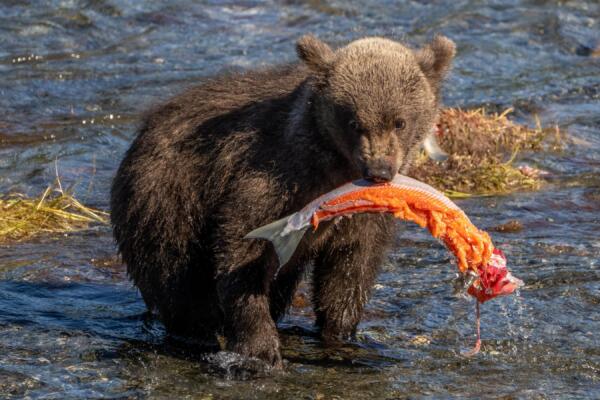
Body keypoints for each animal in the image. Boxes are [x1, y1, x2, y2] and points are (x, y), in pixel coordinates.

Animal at [110, 34, 454, 368]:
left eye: (400, 121)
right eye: (354, 123)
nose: (379, 170)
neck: (333, 172)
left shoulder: (362, 214)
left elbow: (350, 269)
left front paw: (342, 335)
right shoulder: (272, 178)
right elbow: (242, 248)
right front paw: (261, 348)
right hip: (166, 202)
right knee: (180, 281)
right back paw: (198, 333)